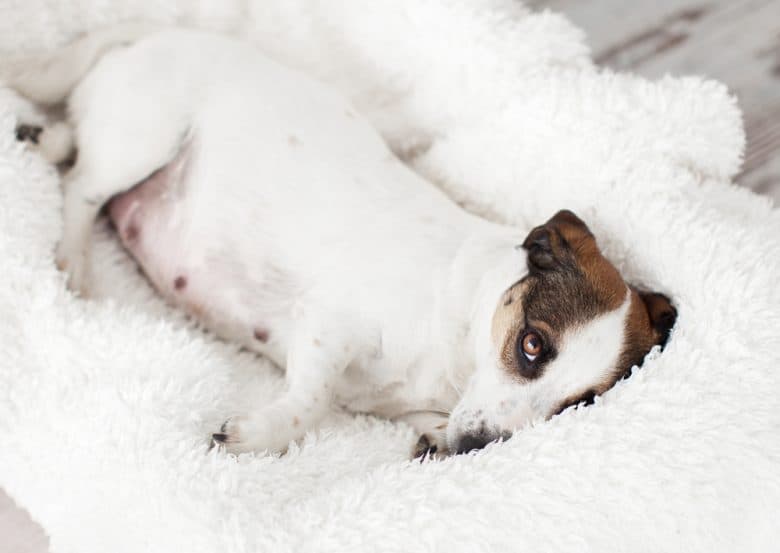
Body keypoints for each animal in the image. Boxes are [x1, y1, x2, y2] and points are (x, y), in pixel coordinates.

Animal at [7, 24, 676, 458]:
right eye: (533, 346)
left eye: (577, 406)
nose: (476, 447)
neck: (459, 330)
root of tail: (139, 38)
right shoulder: (327, 329)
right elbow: (312, 402)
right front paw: (257, 437)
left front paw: (434, 440)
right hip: (144, 138)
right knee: (81, 188)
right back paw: (73, 259)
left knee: (72, 142)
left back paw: (41, 135)